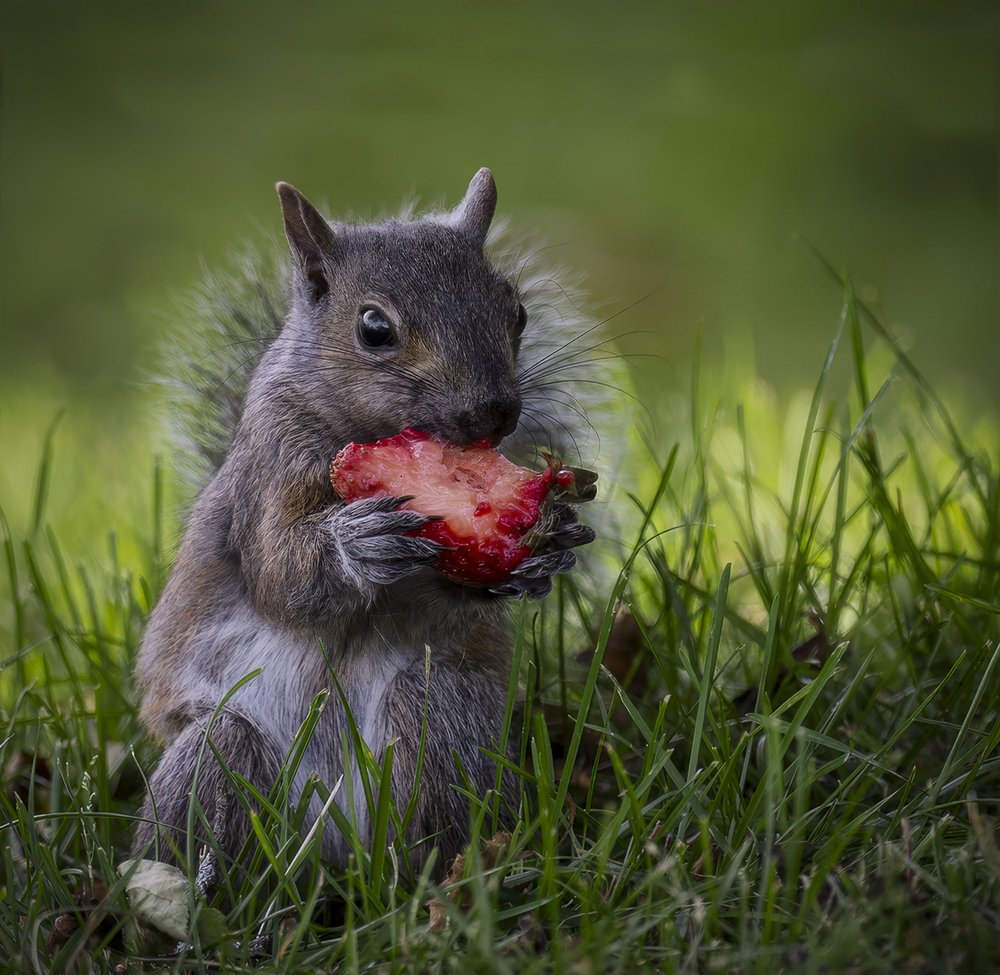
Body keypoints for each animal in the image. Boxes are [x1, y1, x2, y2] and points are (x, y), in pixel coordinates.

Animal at [132, 168, 600, 874]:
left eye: (515, 311)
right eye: (374, 328)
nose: (494, 413)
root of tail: (334, 850)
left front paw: (551, 543)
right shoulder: (267, 467)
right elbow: (280, 573)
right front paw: (357, 544)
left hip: (441, 723)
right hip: (219, 758)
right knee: (218, 772)